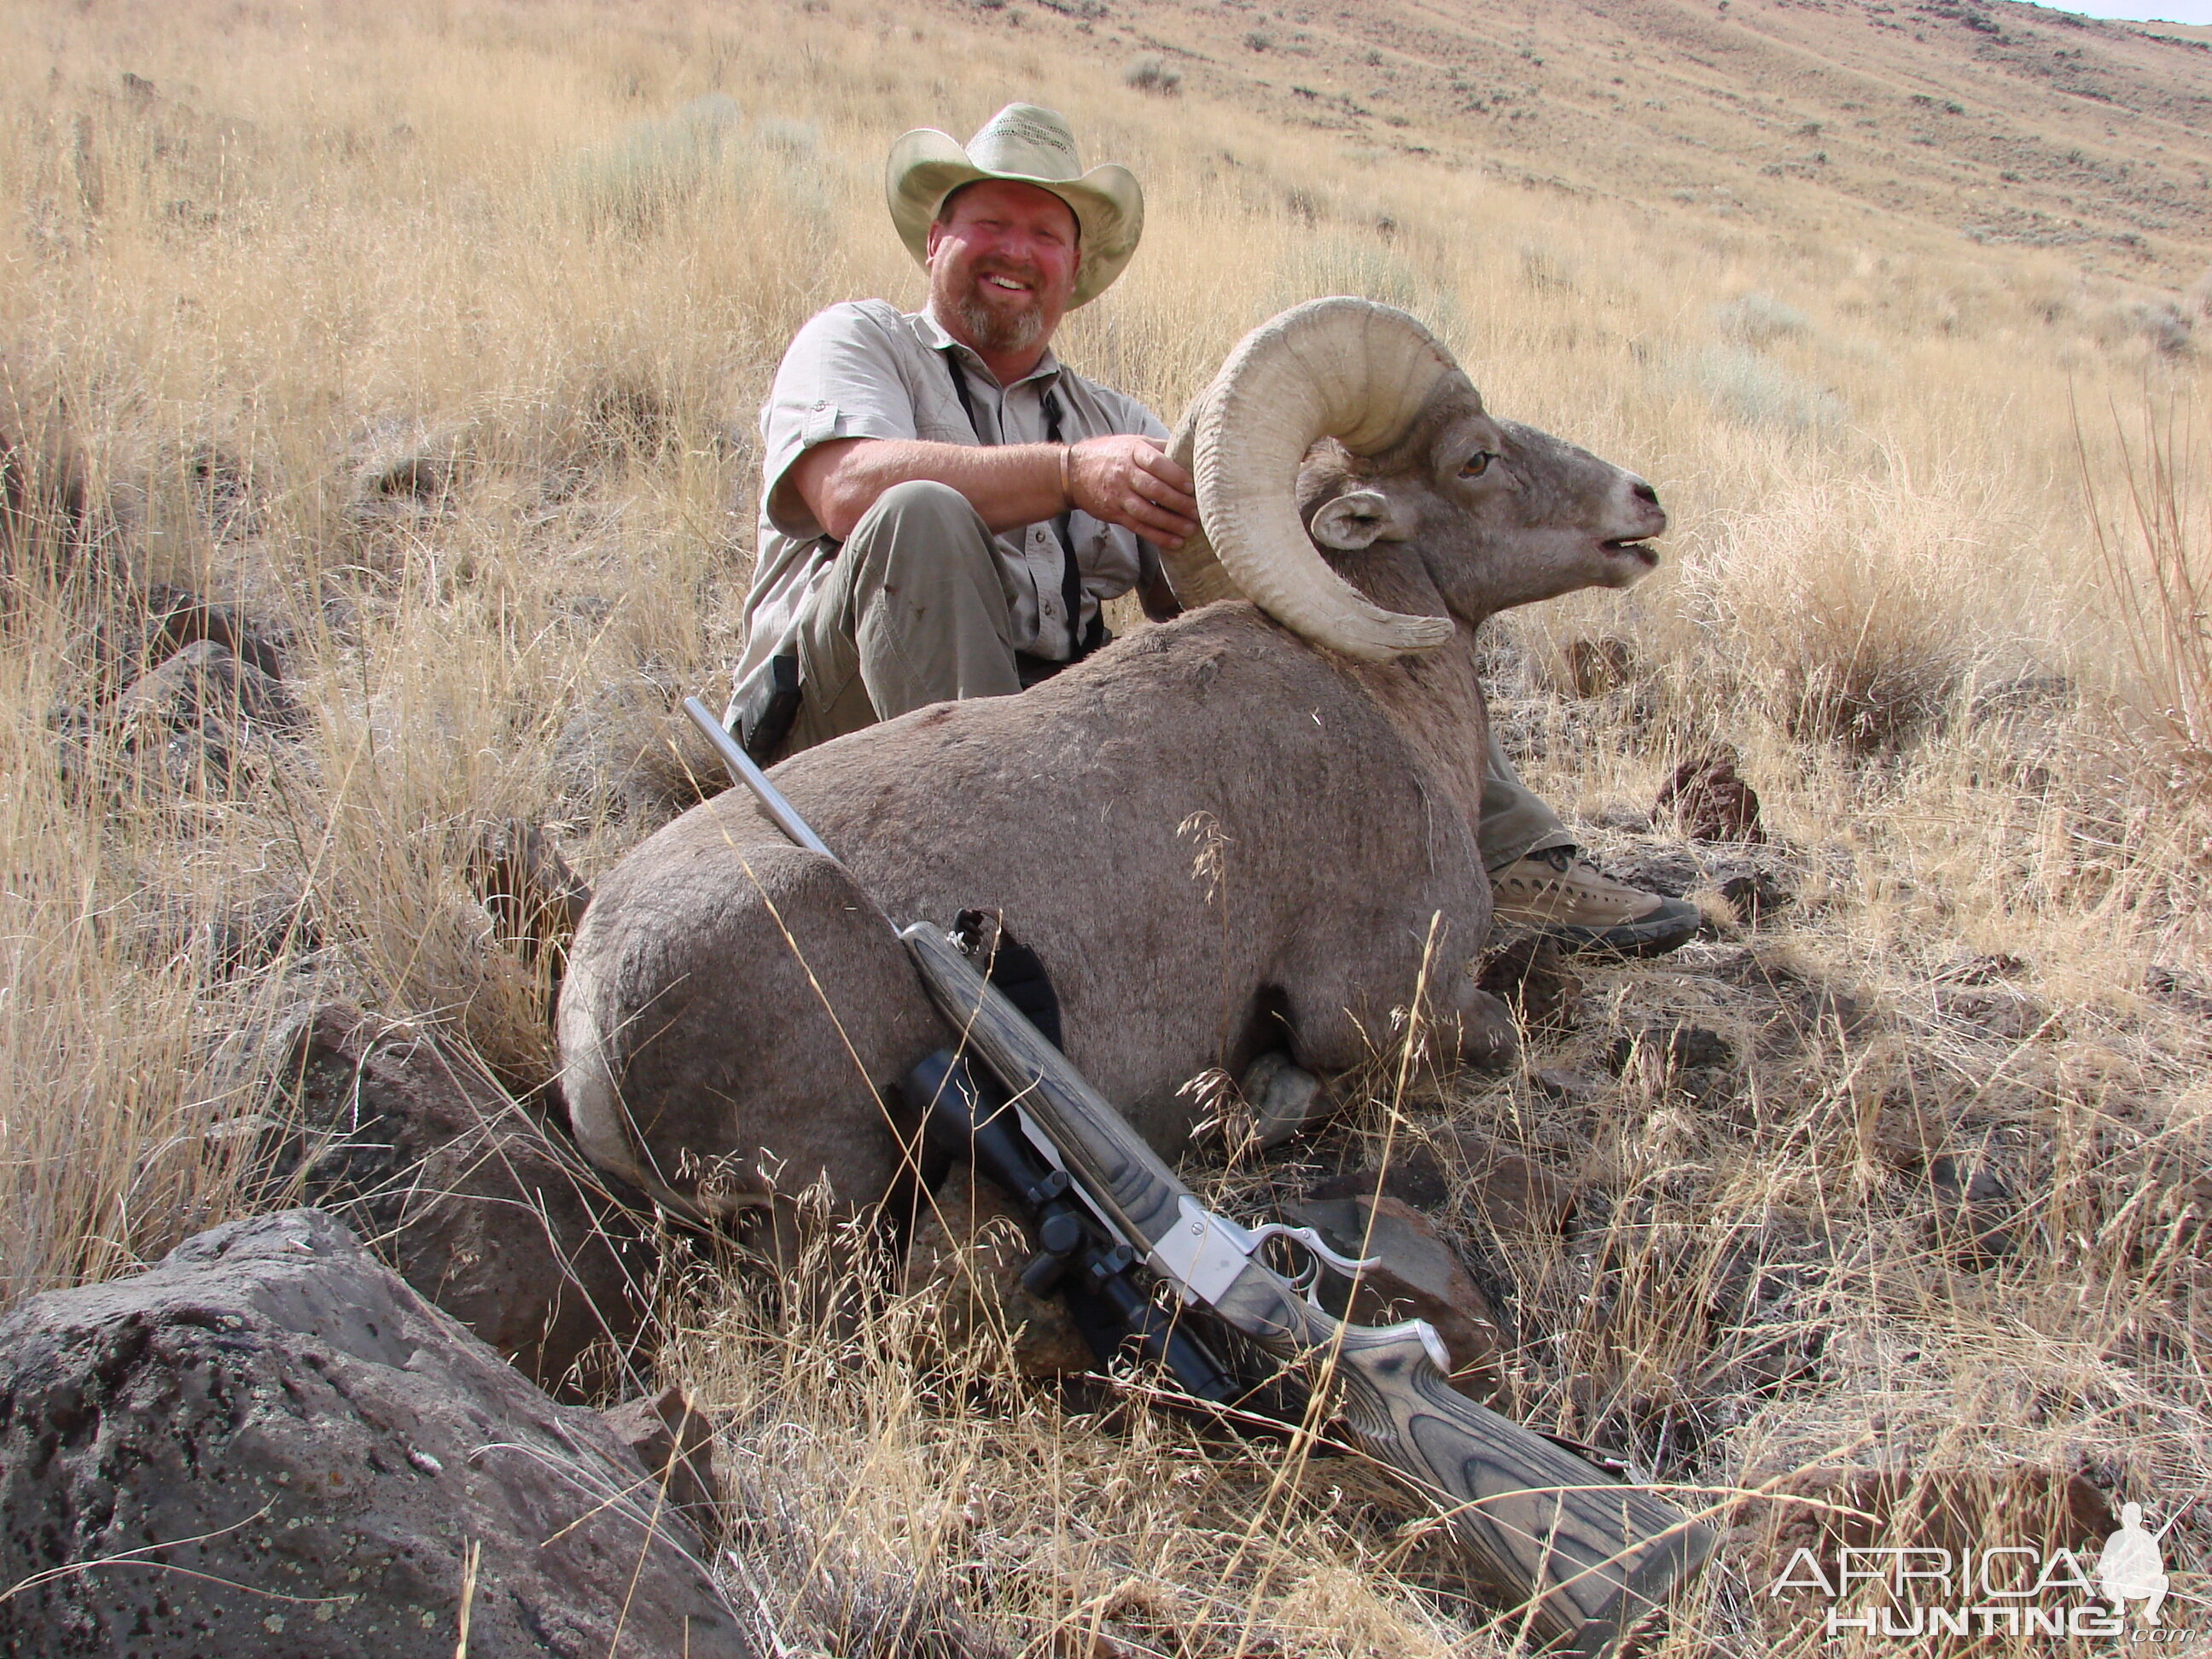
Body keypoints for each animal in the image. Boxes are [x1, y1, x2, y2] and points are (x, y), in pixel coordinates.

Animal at [553, 298, 1663, 1238]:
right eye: (1477, 457)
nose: (1643, 501)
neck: (1376, 696)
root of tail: (591, 1036)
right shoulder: (1393, 1005)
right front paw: (1263, 1102)